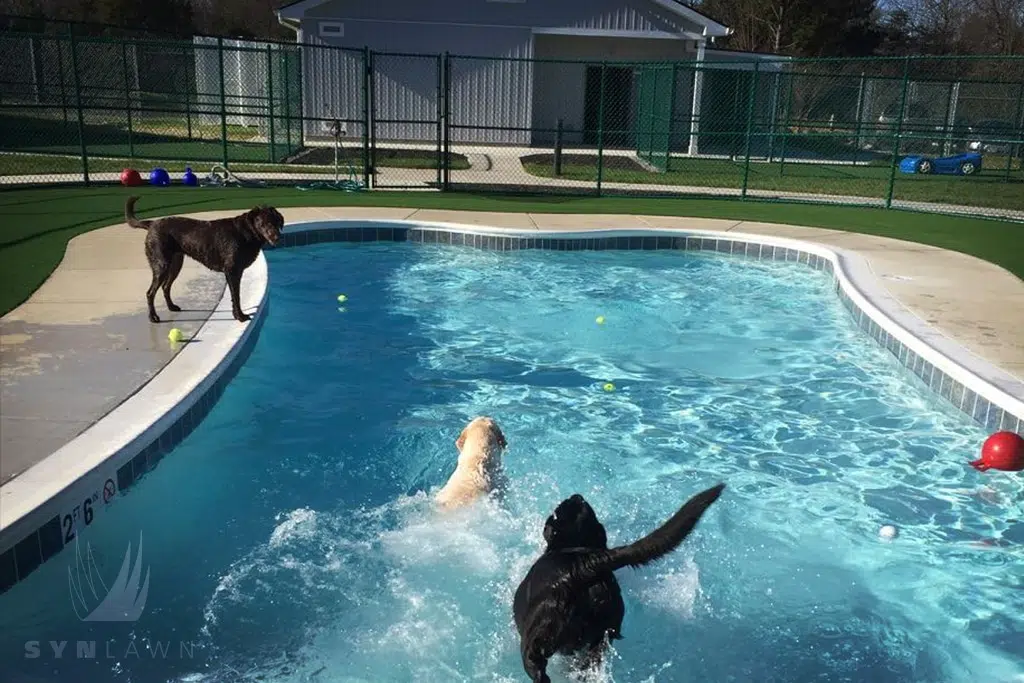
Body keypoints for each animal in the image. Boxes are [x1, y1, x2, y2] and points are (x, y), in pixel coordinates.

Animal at [509, 483, 720, 679]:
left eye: (561, 509)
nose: (577, 496)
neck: (573, 546)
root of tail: (583, 565)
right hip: (603, 634)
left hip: (538, 634)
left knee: (535, 663)